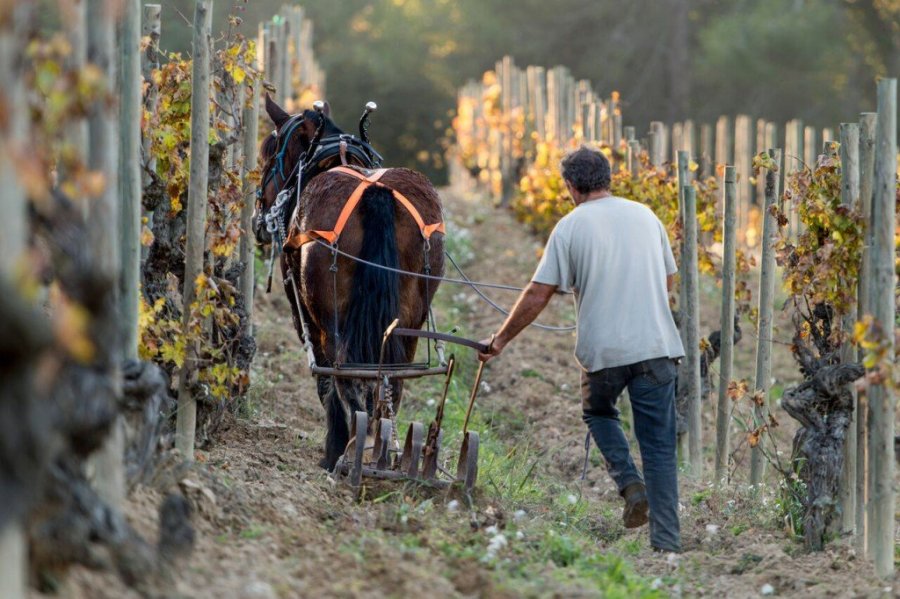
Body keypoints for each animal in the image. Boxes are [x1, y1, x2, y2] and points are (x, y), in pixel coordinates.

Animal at [255, 96, 444, 472]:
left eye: (269, 153)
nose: (258, 218)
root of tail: (376, 192)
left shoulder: (304, 314)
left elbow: (325, 379)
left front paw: (332, 447)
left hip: (331, 318)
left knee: (343, 374)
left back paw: (352, 447)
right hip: (411, 319)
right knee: (393, 377)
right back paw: (382, 448)